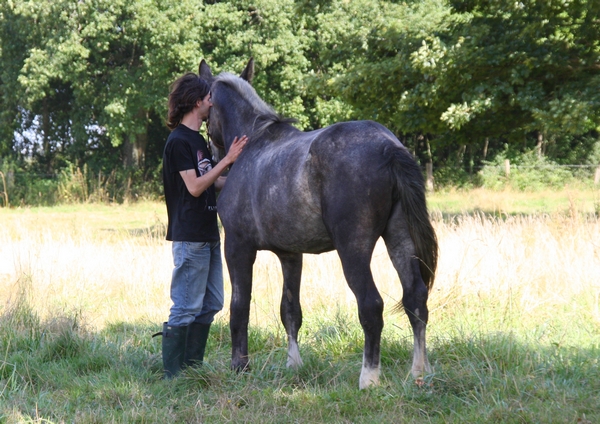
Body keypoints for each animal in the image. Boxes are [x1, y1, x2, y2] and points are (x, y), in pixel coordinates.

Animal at [199, 58, 438, 390]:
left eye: (207, 115)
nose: (215, 157)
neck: (254, 143)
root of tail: (388, 147)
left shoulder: (237, 248)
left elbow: (239, 307)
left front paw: (240, 366)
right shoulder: (290, 255)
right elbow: (290, 310)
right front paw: (294, 365)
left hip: (353, 249)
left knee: (371, 305)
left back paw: (369, 378)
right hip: (400, 238)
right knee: (415, 298)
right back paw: (418, 372)